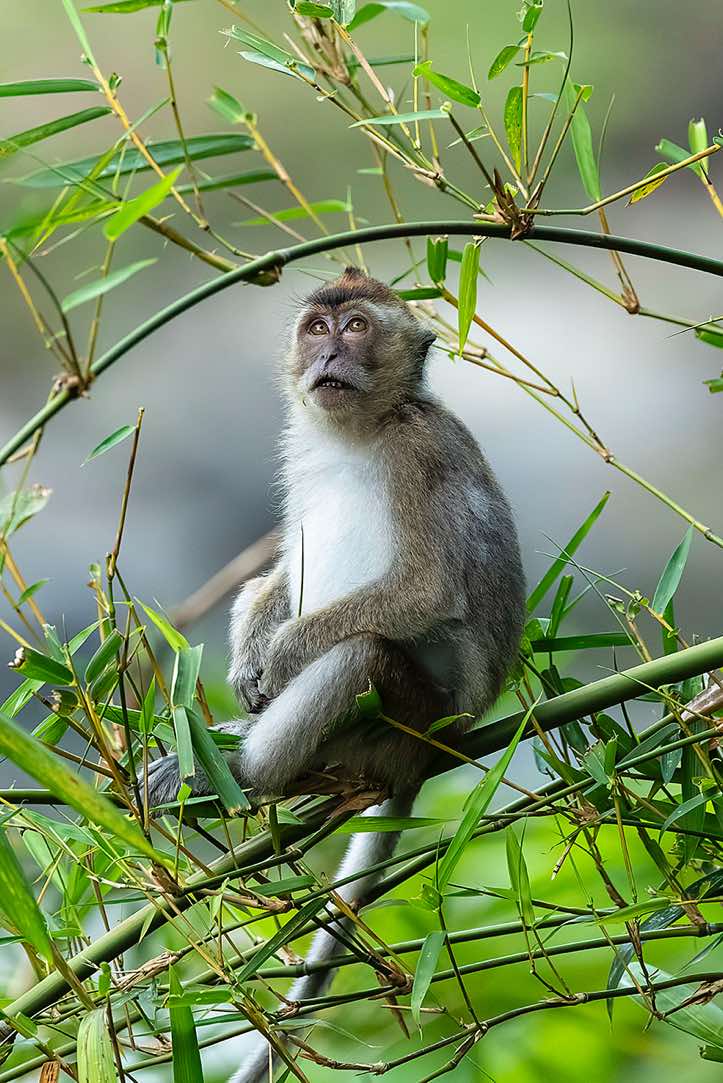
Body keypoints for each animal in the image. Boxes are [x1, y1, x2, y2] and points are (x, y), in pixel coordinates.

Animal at [145, 266, 526, 1083]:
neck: (361, 432)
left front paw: (282, 654)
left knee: (360, 654)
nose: (329, 354)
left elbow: (422, 589)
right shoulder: (304, 452)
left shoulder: (416, 453)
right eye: (316, 328)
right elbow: (282, 570)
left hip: (405, 720)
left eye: (355, 327)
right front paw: (251, 653)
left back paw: (246, 771)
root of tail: (443, 747)